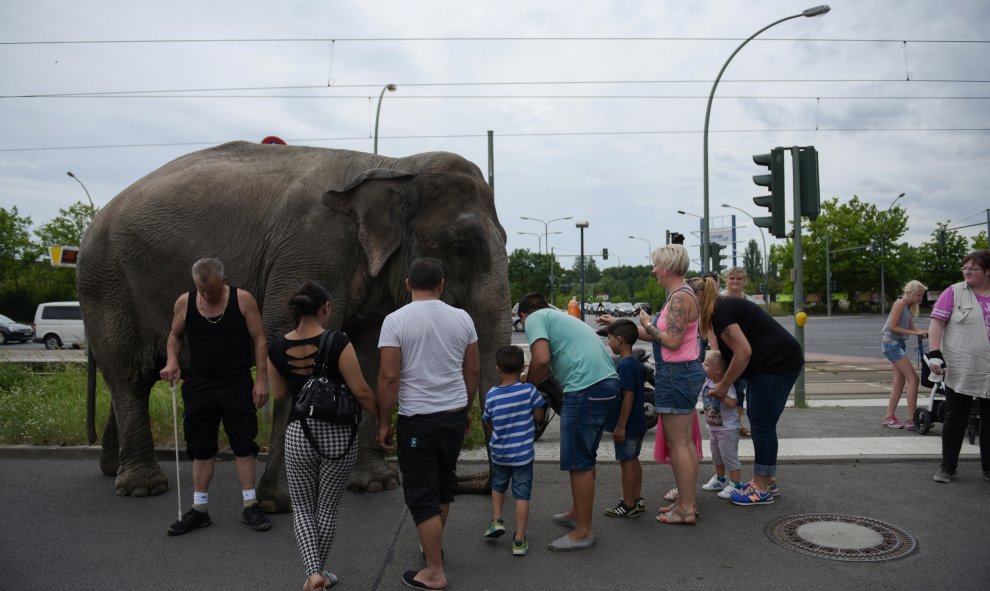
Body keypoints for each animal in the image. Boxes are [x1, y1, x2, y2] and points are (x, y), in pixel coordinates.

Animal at [77, 141, 512, 512]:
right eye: (461, 247)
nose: (463, 481)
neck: (395, 164)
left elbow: (368, 357)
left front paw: (375, 484)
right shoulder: (312, 251)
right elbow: (286, 337)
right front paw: (282, 503)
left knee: (138, 376)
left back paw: (114, 471)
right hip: (107, 284)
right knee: (129, 373)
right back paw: (143, 488)